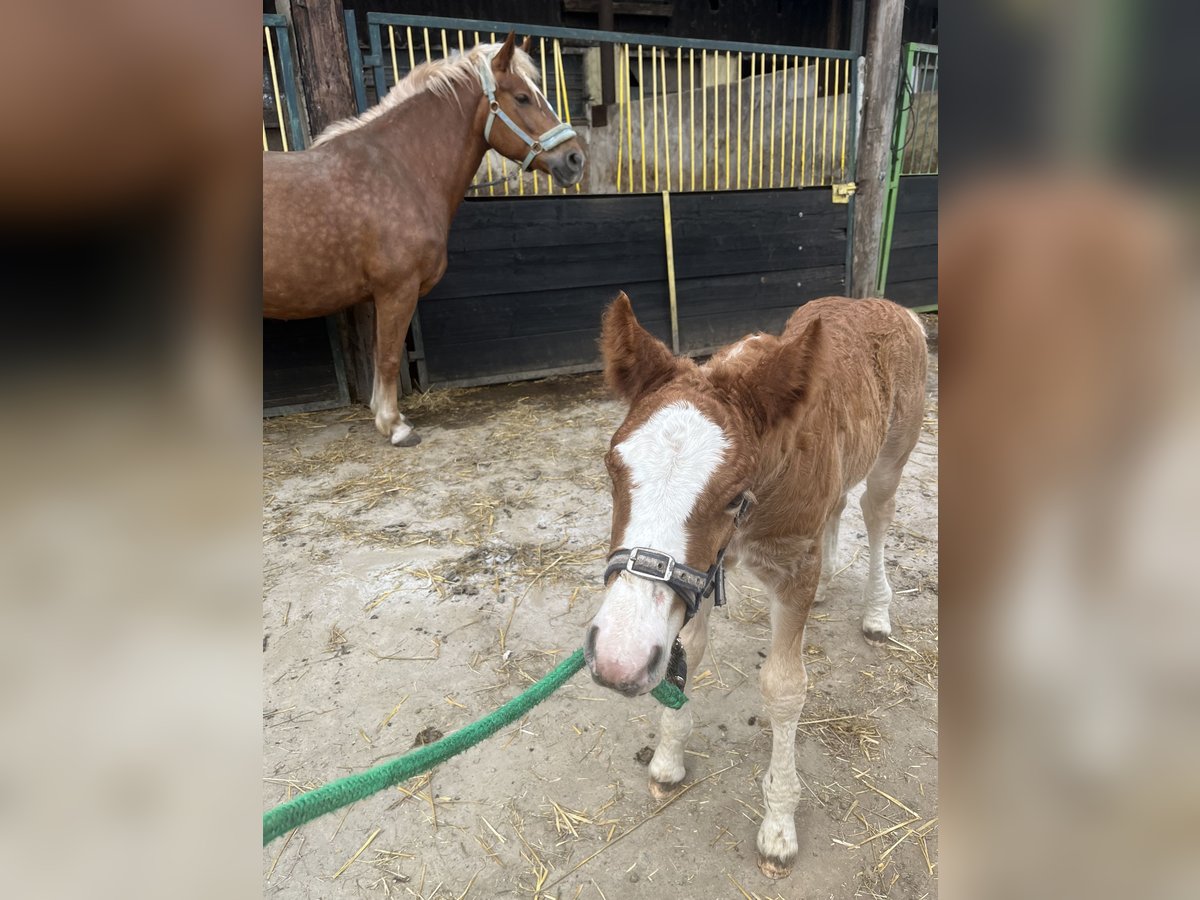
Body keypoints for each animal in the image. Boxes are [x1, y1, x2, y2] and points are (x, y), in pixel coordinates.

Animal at [583, 292, 926, 878]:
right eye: (612, 467)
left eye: (732, 496)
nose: (615, 660)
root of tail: (890, 306)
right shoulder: (700, 575)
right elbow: (687, 652)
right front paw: (668, 759)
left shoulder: (791, 574)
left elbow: (784, 689)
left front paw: (778, 826)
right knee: (839, 505)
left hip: (894, 452)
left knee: (876, 511)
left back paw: (877, 612)